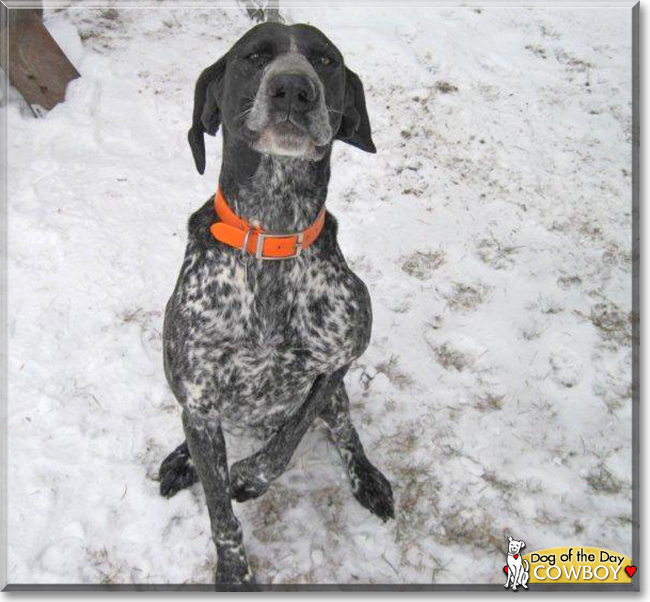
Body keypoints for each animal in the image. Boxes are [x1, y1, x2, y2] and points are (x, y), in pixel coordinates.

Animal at [156, 22, 394, 580]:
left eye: (326, 60)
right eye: (253, 56)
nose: (293, 89)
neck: (273, 235)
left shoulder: (341, 359)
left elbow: (287, 439)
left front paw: (249, 476)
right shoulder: (198, 399)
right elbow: (219, 510)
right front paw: (234, 574)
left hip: (337, 401)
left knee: (343, 431)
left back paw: (367, 477)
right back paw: (181, 459)